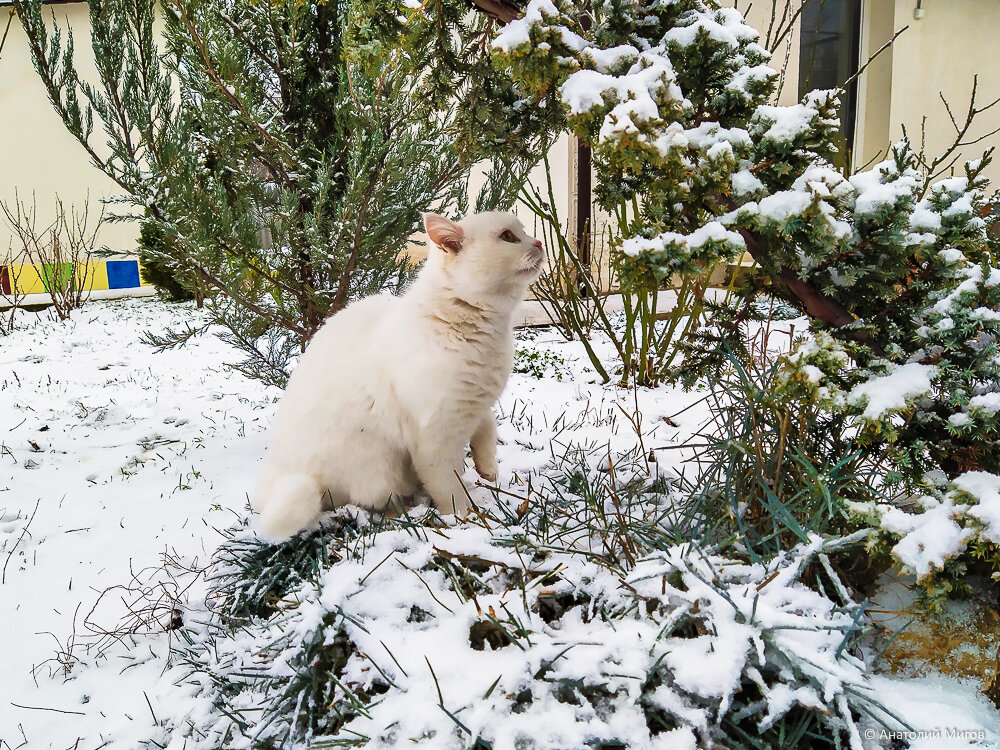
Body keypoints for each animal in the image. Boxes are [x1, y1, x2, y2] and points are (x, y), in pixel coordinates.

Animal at [254, 212, 544, 540]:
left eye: (522, 231)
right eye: (508, 237)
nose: (539, 242)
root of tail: (274, 476)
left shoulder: (479, 407)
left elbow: (487, 435)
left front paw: (488, 470)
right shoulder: (435, 436)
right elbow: (449, 486)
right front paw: (466, 518)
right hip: (378, 465)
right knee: (371, 503)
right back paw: (406, 509)